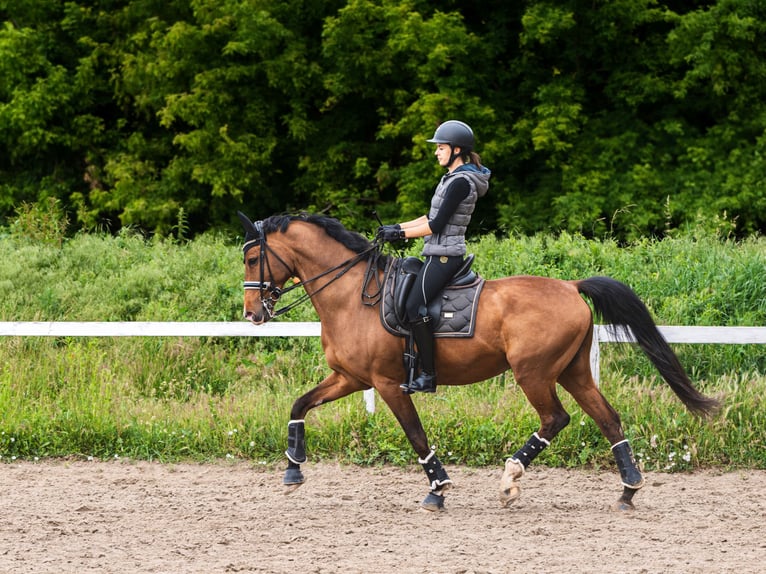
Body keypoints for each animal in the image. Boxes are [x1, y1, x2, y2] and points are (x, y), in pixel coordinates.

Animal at [240, 212, 720, 512]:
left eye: (252, 257)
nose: (252, 314)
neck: (353, 295)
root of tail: (570, 285)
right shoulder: (350, 378)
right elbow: (300, 404)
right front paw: (292, 467)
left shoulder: (388, 383)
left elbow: (415, 435)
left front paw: (437, 490)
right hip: (574, 371)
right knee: (608, 418)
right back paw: (628, 490)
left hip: (534, 373)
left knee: (556, 419)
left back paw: (510, 480)